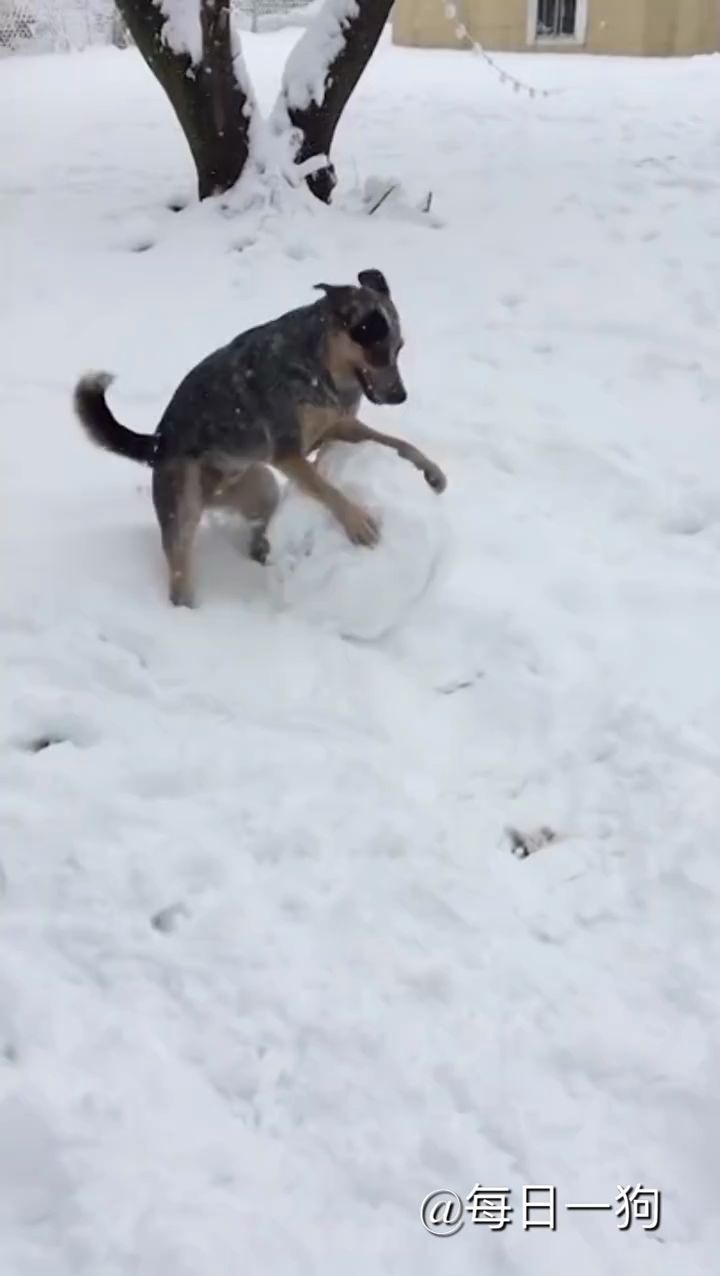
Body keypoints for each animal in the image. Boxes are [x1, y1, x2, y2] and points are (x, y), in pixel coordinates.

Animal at [71, 269, 444, 607]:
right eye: (377, 350)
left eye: (399, 348)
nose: (401, 396)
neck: (319, 362)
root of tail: (157, 443)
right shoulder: (288, 453)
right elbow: (327, 488)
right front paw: (357, 522)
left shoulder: (337, 427)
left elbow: (399, 443)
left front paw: (432, 472)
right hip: (184, 504)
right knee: (179, 571)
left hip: (259, 486)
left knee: (256, 528)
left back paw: (262, 552)